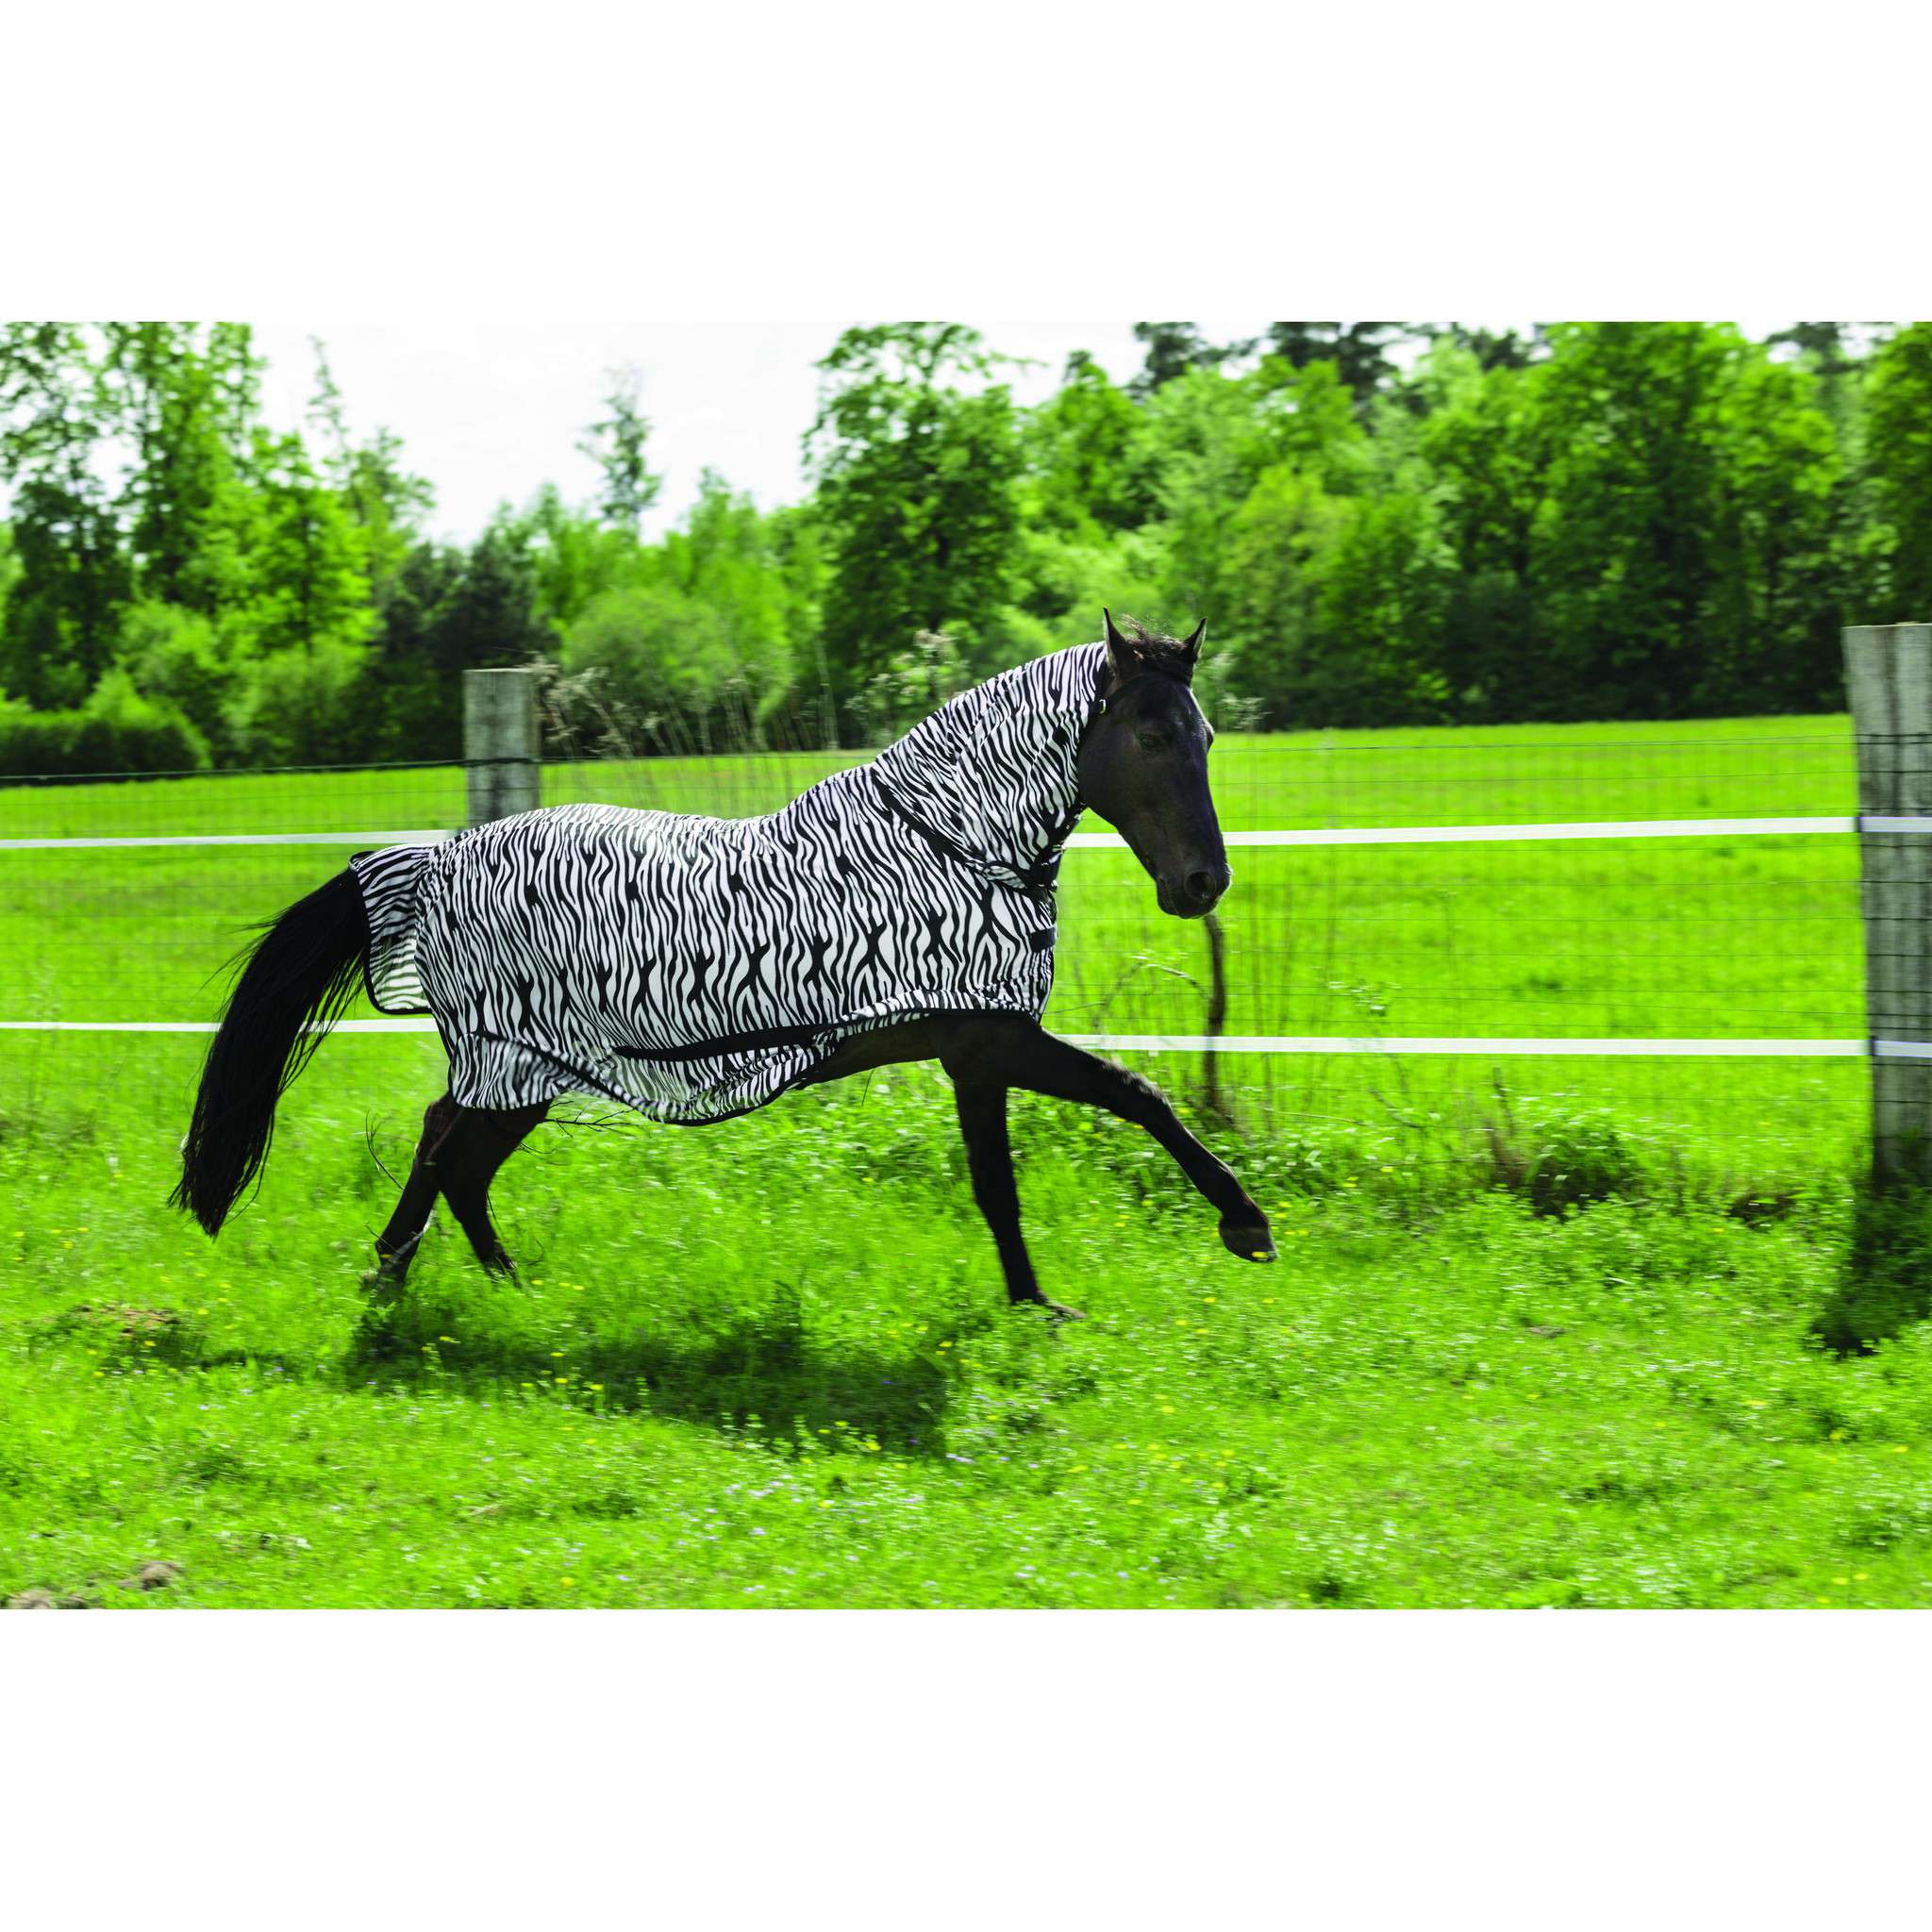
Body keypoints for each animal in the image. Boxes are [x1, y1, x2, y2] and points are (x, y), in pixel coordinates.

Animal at [173, 612, 1277, 1319]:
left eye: (1207, 733)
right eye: (1149, 733)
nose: (1202, 882)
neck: (952, 840)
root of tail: (431, 863)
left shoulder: (976, 1054)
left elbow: (1014, 1173)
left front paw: (1032, 1302)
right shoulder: (991, 1041)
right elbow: (1128, 1101)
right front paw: (1243, 1227)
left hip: (520, 1071)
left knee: (449, 1151)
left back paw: (458, 1284)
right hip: (515, 1065)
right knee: (449, 1155)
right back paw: (443, 1290)